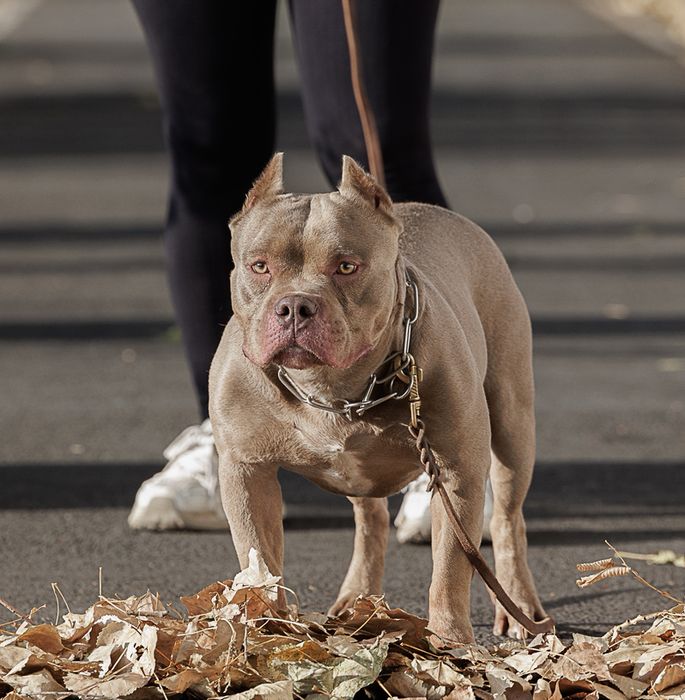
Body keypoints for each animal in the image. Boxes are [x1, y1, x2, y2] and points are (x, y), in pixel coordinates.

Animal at [209, 153, 547, 642]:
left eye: (347, 267)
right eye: (259, 266)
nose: (294, 306)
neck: (331, 389)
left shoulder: (457, 473)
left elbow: (450, 568)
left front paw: (449, 639)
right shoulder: (246, 472)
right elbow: (260, 559)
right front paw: (268, 629)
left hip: (512, 422)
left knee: (507, 517)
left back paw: (519, 604)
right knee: (371, 521)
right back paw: (358, 598)